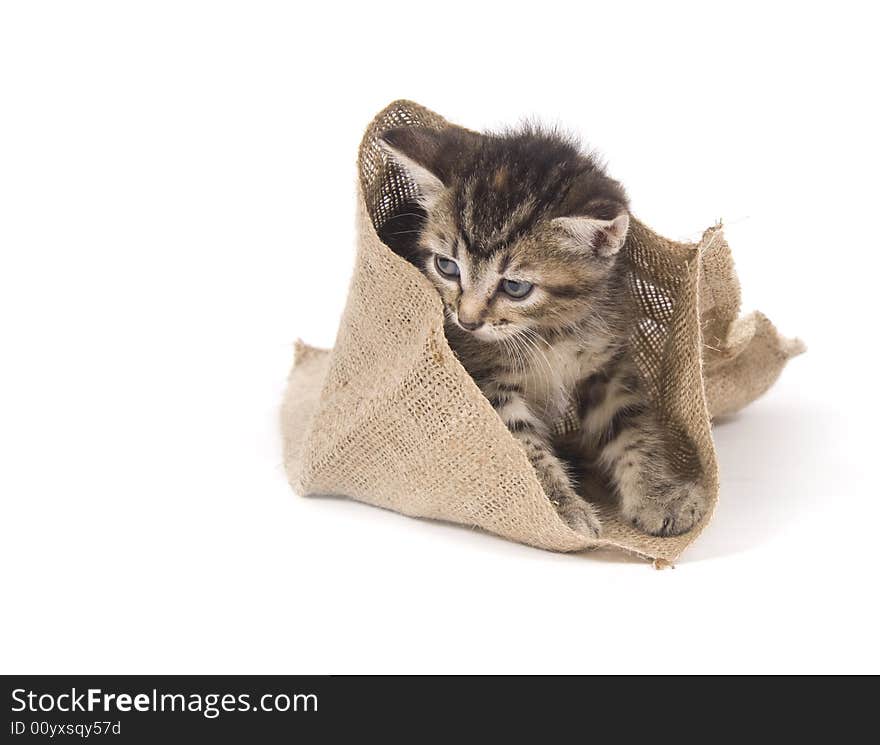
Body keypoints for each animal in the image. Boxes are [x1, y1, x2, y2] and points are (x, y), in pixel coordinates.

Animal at [378, 123, 708, 536]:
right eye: (447, 267)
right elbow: (520, 446)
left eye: (515, 287)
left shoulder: (608, 363)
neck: (550, 331)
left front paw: (659, 494)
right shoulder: (482, 380)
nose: (466, 321)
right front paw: (561, 510)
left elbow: (631, 425)